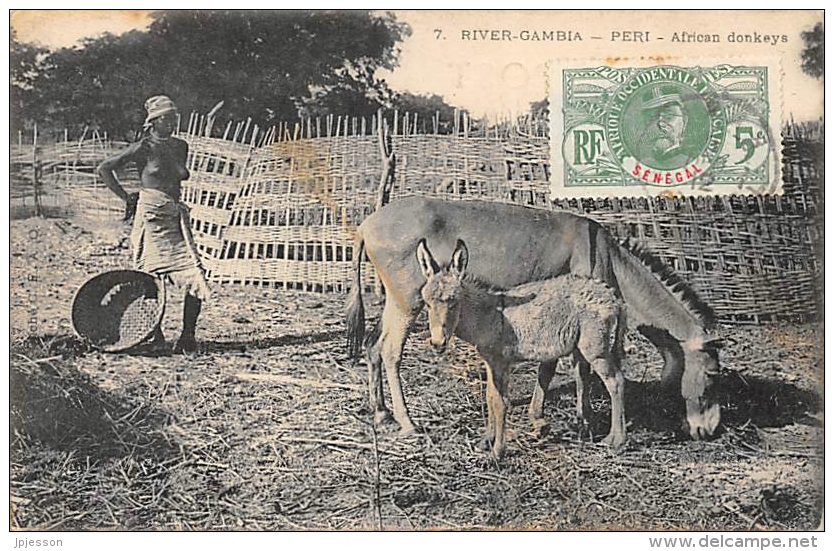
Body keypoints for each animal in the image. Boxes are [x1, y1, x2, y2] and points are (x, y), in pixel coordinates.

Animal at [416, 239, 624, 460]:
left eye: (453, 302)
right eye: (427, 304)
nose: (437, 343)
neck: (487, 314)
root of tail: (614, 298)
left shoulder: (501, 363)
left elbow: (500, 403)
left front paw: (497, 452)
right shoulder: (490, 362)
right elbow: (490, 397)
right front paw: (486, 440)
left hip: (595, 349)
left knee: (615, 382)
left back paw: (616, 441)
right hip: (583, 348)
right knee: (585, 378)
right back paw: (585, 428)